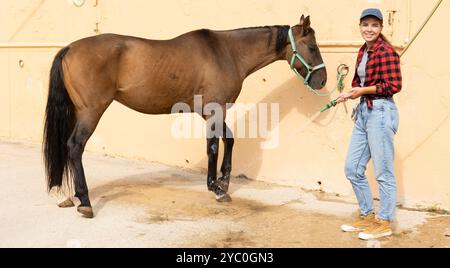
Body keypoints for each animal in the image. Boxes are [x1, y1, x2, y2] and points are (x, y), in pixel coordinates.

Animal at [43, 14, 326, 218]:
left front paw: (224, 181)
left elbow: (229, 139)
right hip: (91, 112)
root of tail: (69, 48)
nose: (323, 80)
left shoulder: (211, 111)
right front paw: (216, 188)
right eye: (312, 47)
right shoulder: (214, 110)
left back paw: (68, 196)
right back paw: (85, 200)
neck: (226, 52)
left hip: (77, 111)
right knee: (75, 146)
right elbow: (213, 146)